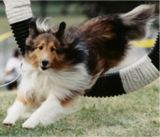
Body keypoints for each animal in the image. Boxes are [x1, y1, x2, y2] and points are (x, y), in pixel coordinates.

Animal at [3, 4, 154, 128]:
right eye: (40, 47)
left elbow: (44, 109)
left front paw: (30, 123)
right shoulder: (31, 88)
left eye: (53, 49)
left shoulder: (61, 93)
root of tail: (114, 20)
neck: (49, 72)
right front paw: (9, 120)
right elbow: (19, 104)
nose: (44, 62)